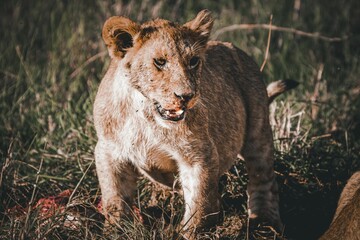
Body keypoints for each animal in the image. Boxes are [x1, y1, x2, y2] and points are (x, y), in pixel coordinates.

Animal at [93, 9, 296, 238]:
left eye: (193, 61)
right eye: (160, 62)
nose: (186, 96)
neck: (145, 115)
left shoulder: (198, 154)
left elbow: (200, 204)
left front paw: (192, 233)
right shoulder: (109, 150)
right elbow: (115, 199)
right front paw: (115, 230)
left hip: (258, 130)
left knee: (263, 178)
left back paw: (264, 223)